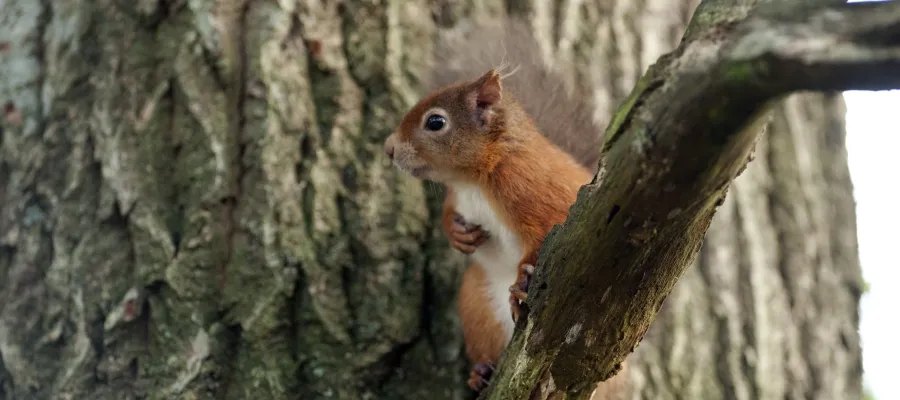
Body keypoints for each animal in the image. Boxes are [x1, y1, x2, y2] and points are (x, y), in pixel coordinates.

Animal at [383, 18, 628, 399]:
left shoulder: (538, 190)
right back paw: (481, 373)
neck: (474, 181)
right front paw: (457, 233)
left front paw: (524, 280)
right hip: (476, 305)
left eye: (435, 122)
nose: (389, 148)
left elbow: (549, 233)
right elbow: (449, 214)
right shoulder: (457, 196)